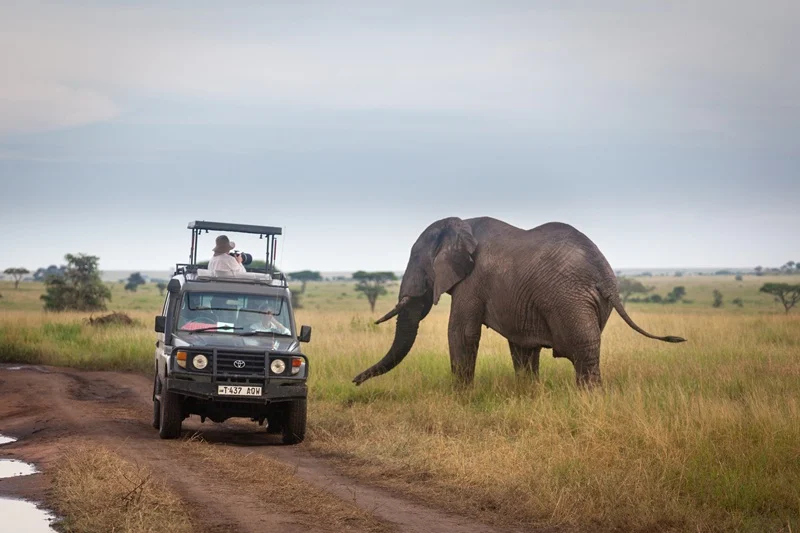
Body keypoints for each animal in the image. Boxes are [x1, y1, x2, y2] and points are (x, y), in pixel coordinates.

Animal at [353, 217, 686, 387]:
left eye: (418, 262)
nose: (354, 381)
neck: (460, 224)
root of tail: (605, 273)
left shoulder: (473, 280)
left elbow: (461, 333)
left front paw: (460, 397)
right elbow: (522, 345)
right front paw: (529, 395)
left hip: (571, 300)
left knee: (584, 354)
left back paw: (589, 401)